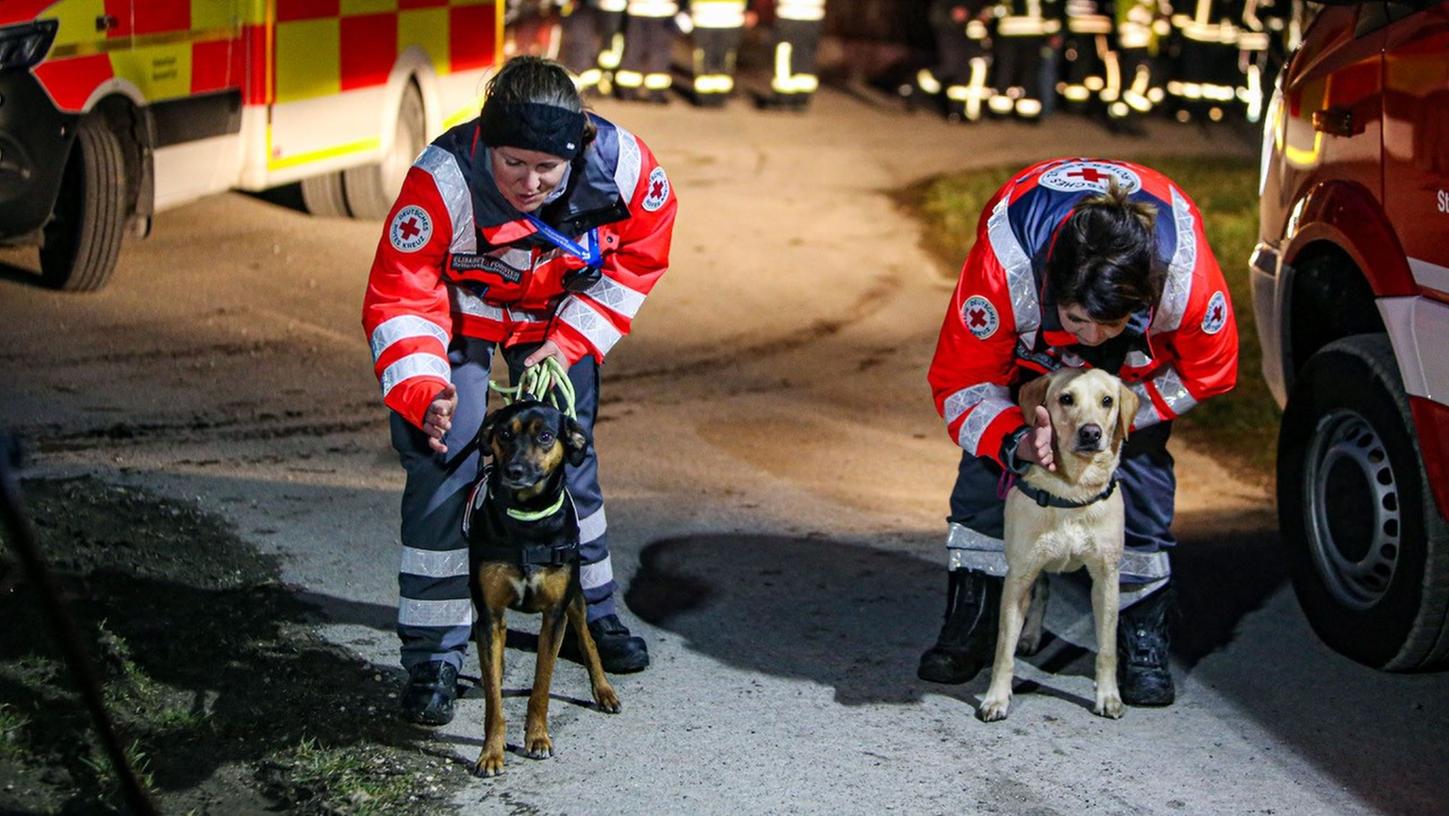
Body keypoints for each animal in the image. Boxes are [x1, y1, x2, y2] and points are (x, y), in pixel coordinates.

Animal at [466, 402, 620, 776]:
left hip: (576, 598)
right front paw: (491, 752)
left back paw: (604, 690)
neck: (527, 517)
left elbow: (541, 685)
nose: (514, 470)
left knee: (589, 639)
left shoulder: (555, 615)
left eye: (546, 436)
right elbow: (493, 700)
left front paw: (537, 737)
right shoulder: (489, 615)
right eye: (504, 434)